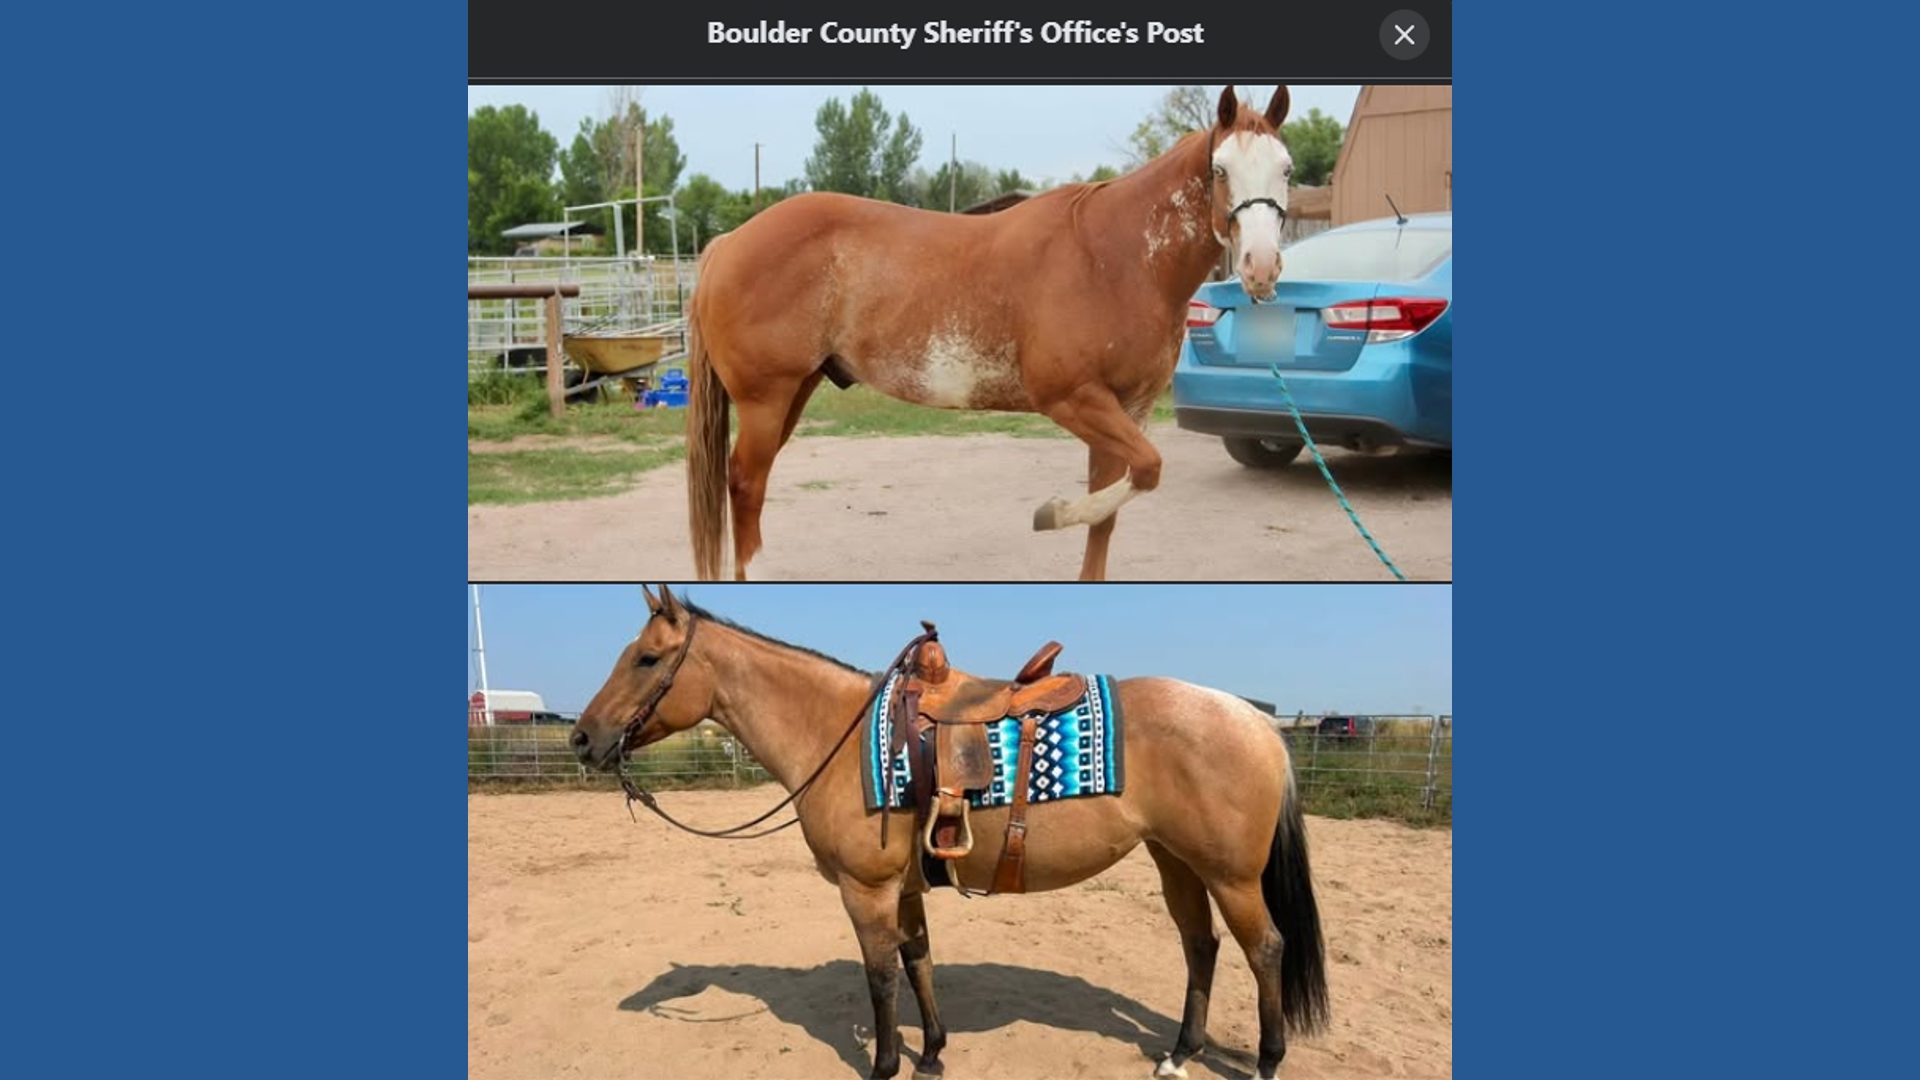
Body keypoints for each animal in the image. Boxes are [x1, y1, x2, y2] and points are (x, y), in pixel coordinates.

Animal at [568, 585, 1329, 1080]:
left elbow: (880, 977)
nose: (582, 739)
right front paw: (931, 1054)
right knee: (1200, 946)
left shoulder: (866, 890)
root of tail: (1258, 721)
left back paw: (1267, 1062)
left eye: (645, 659)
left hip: (1231, 875)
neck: (839, 735)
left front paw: (883, 1067)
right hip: (1177, 861)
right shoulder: (903, 889)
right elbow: (918, 961)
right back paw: (1178, 1054)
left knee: (1265, 948)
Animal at [684, 87, 1297, 581]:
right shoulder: (1074, 399)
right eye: (1220, 170)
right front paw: (1050, 513)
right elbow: (1147, 470)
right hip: (766, 398)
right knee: (746, 485)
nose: (1261, 267)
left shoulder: (1127, 410)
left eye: (1287, 169)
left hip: (795, 391)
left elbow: (1109, 511)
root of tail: (729, 242)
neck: (1114, 258)